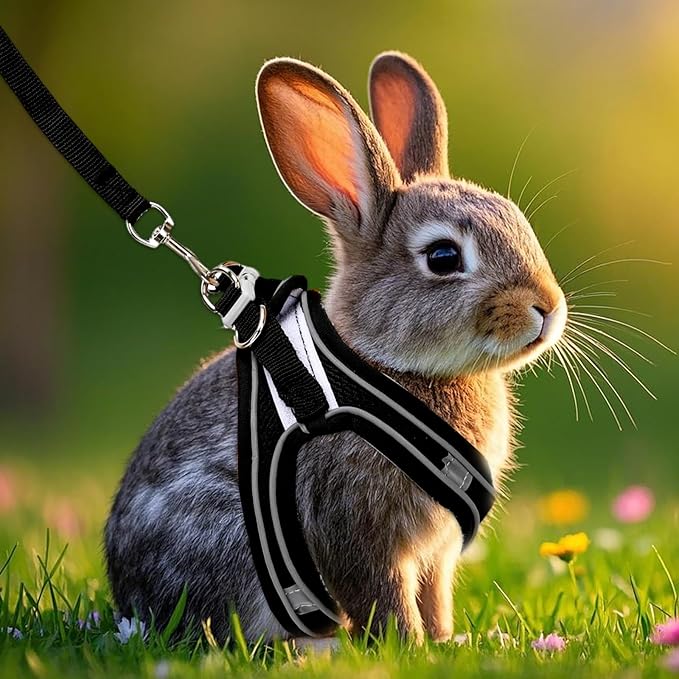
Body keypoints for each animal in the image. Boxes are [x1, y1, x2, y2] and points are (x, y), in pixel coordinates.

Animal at [104, 51, 567, 646]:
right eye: (443, 257)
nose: (546, 306)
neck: (389, 367)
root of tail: (131, 606)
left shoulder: (434, 554)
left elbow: (433, 594)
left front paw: (446, 640)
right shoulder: (354, 528)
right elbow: (382, 595)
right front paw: (409, 647)